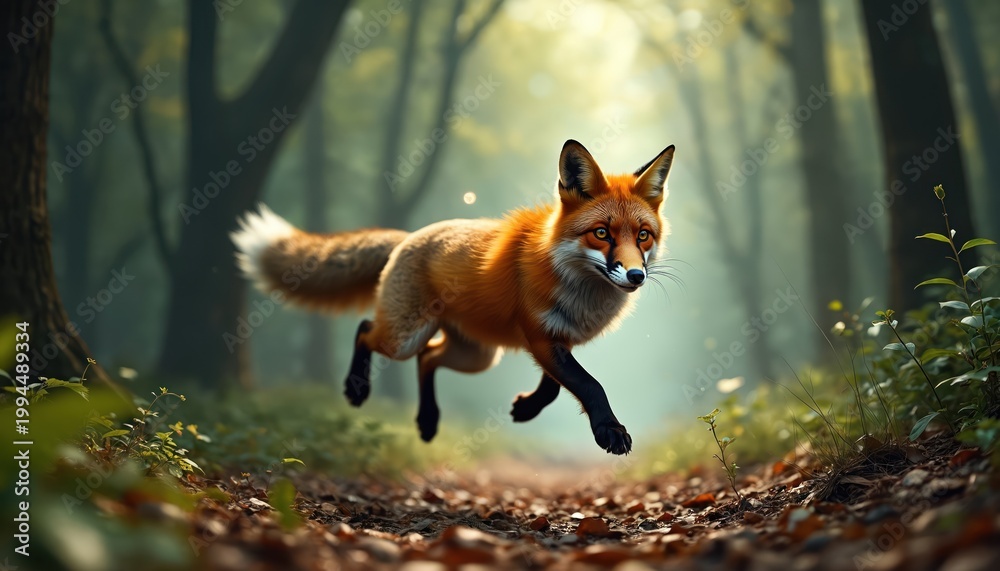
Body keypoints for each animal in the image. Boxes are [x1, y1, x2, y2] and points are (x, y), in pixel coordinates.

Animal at [231, 140, 675, 455]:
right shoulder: (540, 335)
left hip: (476, 356)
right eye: (601, 233)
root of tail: (409, 236)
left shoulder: (556, 339)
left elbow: (555, 387)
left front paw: (526, 408)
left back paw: (428, 421)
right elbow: (589, 384)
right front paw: (609, 430)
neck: (575, 283)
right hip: (406, 337)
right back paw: (357, 388)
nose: (635, 275)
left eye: (643, 236)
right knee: (366, 330)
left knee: (428, 359)